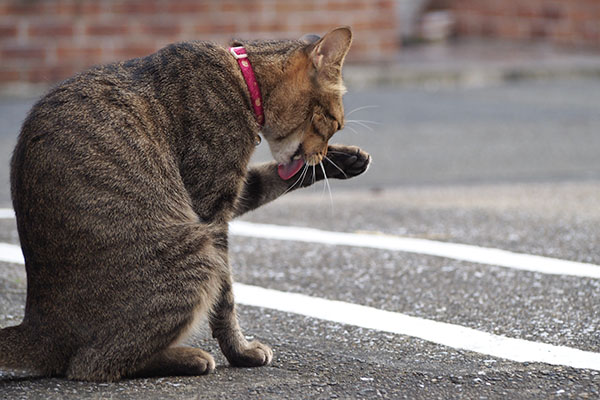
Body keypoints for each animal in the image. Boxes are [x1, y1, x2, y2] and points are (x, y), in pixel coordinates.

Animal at [0, 25, 370, 382]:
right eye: (332, 123)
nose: (321, 152)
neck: (243, 77)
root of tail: (37, 325)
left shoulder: (229, 195)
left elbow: (270, 179)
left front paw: (342, 160)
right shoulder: (212, 208)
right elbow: (226, 301)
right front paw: (241, 352)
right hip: (196, 250)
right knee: (91, 365)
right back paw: (190, 357)